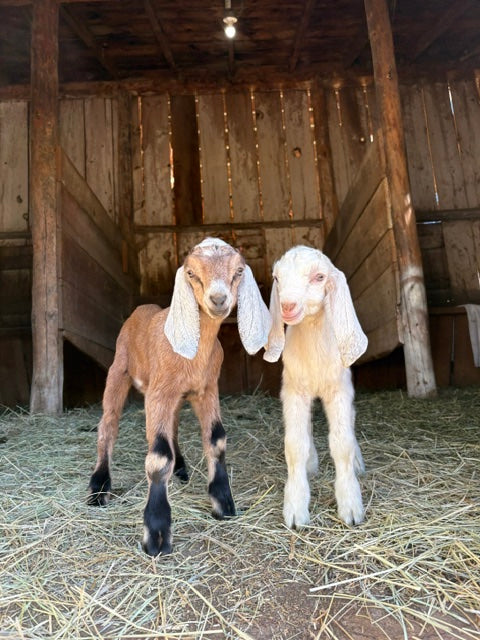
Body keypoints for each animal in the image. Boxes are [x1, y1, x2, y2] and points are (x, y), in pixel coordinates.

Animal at [88, 237, 271, 556]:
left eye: (238, 271)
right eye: (191, 273)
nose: (218, 299)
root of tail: (143, 309)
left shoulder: (206, 389)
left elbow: (216, 440)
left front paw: (223, 502)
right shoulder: (159, 393)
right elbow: (159, 456)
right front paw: (157, 532)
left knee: (171, 427)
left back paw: (182, 467)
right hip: (119, 371)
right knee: (108, 424)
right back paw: (99, 486)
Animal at [264, 245, 368, 528]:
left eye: (319, 277)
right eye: (277, 278)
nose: (288, 305)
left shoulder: (339, 390)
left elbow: (341, 443)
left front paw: (351, 506)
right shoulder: (293, 391)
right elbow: (295, 443)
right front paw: (295, 508)